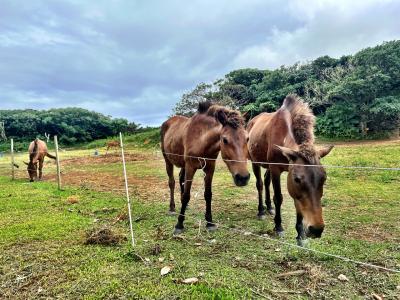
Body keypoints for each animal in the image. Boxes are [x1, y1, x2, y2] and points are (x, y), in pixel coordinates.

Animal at [160, 102, 250, 233]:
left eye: (247, 138)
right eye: (224, 139)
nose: (243, 178)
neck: (201, 139)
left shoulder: (210, 168)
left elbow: (208, 194)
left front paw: (209, 222)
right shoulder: (191, 166)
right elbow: (187, 195)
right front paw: (179, 224)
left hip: (183, 164)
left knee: (181, 178)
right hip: (168, 160)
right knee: (172, 182)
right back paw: (172, 208)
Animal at [248, 95, 332, 245]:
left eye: (324, 178)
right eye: (297, 179)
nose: (316, 229)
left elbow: (298, 204)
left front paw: (300, 234)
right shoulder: (276, 169)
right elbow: (278, 197)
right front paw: (278, 227)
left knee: (266, 181)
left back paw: (269, 208)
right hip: (255, 162)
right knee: (260, 184)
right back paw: (261, 211)